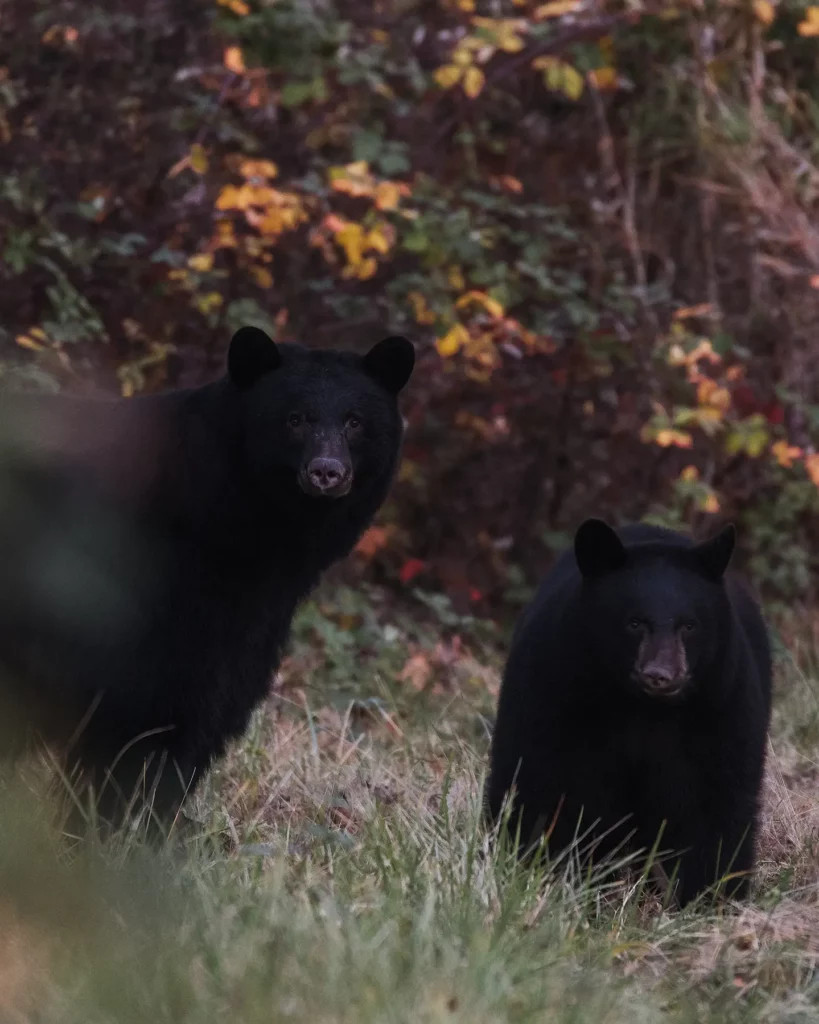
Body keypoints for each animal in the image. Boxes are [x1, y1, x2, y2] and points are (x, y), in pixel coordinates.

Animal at [0, 325, 415, 833]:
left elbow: (213, 701)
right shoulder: (151, 596)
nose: (326, 472)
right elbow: (150, 710)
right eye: (295, 418)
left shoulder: (249, 613)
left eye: (355, 421)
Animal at [485, 519, 772, 908]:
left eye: (690, 625)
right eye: (635, 622)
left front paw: (709, 897)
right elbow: (540, 783)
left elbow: (716, 799)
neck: (641, 708)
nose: (661, 675)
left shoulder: (720, 705)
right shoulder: (555, 691)